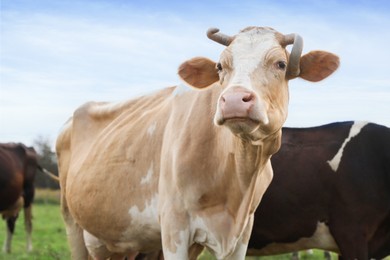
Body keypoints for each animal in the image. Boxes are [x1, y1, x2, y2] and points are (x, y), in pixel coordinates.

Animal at [56, 26, 340, 260]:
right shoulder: (174, 227)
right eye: (219, 67)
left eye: (281, 64)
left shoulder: (242, 232)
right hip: (72, 222)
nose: (234, 100)